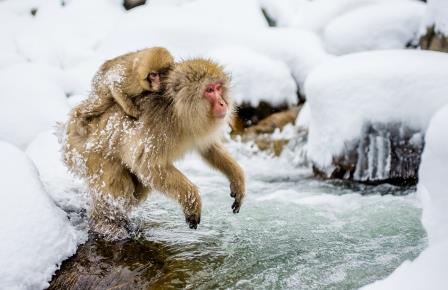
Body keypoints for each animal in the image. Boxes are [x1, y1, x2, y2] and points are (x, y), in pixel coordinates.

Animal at [63, 57, 245, 238]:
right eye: (209, 90)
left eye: (218, 88)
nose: (222, 103)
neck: (177, 112)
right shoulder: (158, 128)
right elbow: (147, 164)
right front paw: (192, 199)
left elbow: (209, 148)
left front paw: (237, 178)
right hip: (86, 154)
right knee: (120, 188)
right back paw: (106, 225)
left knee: (137, 191)